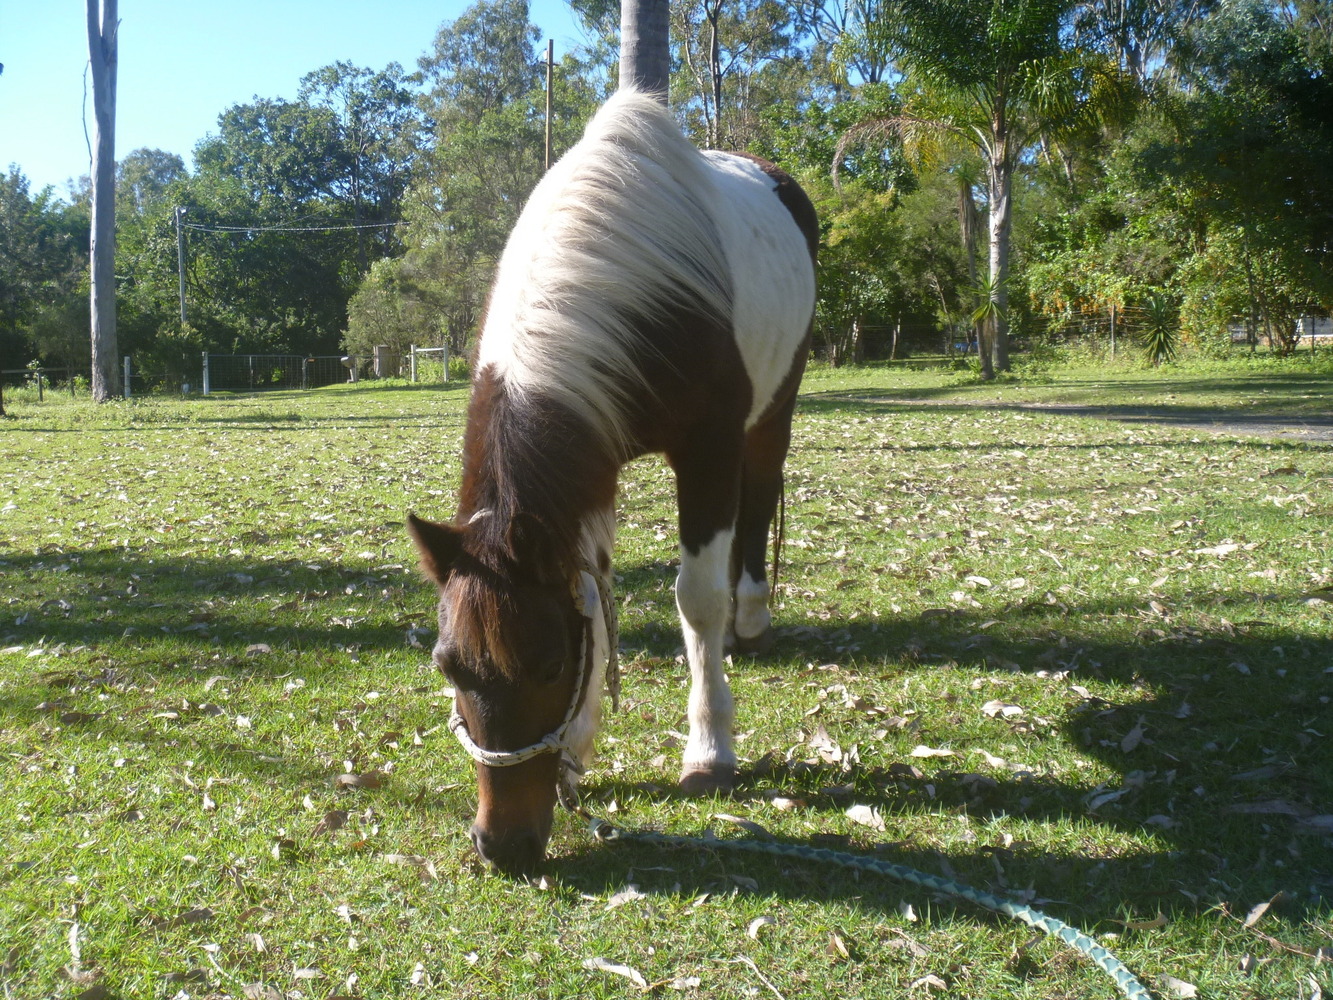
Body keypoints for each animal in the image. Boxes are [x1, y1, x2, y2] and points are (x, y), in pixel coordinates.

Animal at [407, 90, 818, 874]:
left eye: (547, 666)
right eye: (449, 667)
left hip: (773, 408)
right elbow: (591, 594)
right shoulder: (586, 471)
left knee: (756, 502)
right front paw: (577, 748)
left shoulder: (709, 449)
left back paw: (750, 619)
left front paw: (709, 750)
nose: (501, 846)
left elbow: (696, 599)